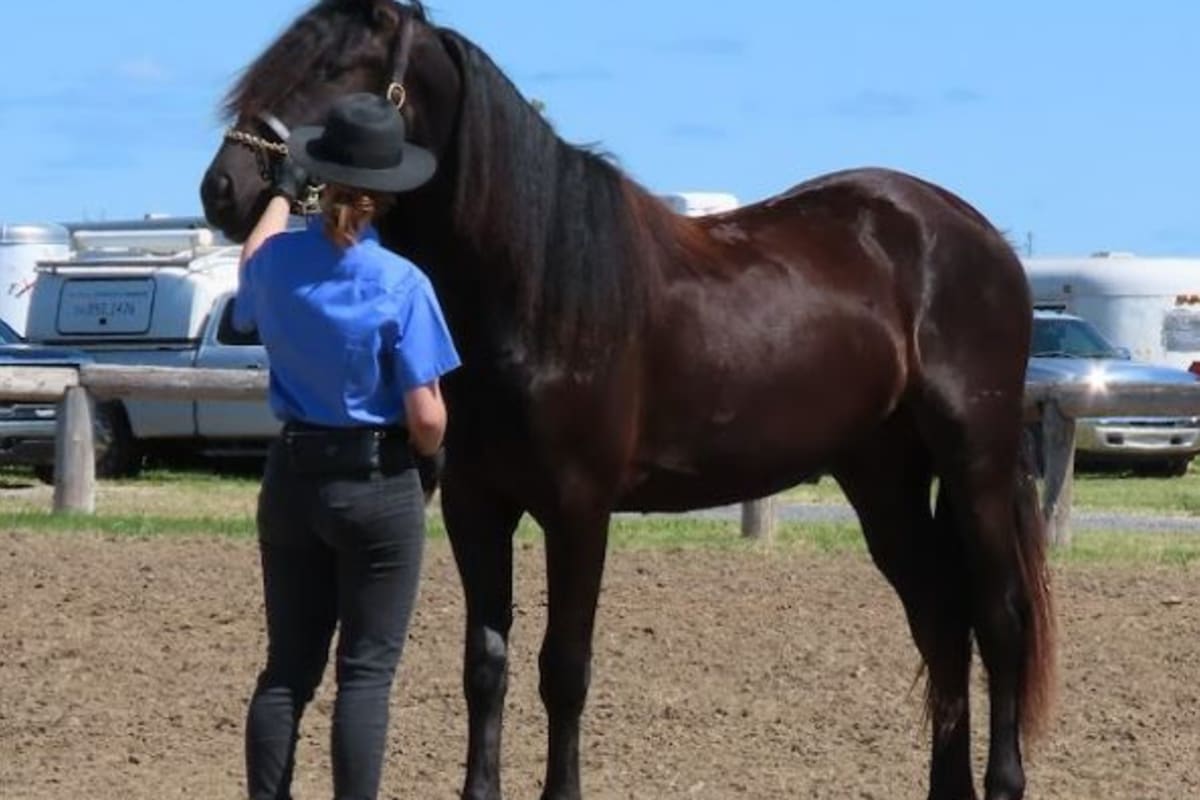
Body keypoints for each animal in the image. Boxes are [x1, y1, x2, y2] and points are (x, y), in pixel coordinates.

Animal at [200, 2, 1054, 798]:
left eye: (337, 68)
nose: (224, 189)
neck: (531, 290)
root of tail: (975, 233)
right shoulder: (477, 504)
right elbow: (486, 663)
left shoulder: (579, 509)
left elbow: (564, 667)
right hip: (882, 479)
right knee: (941, 619)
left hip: (973, 462)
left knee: (998, 619)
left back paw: (1005, 780)